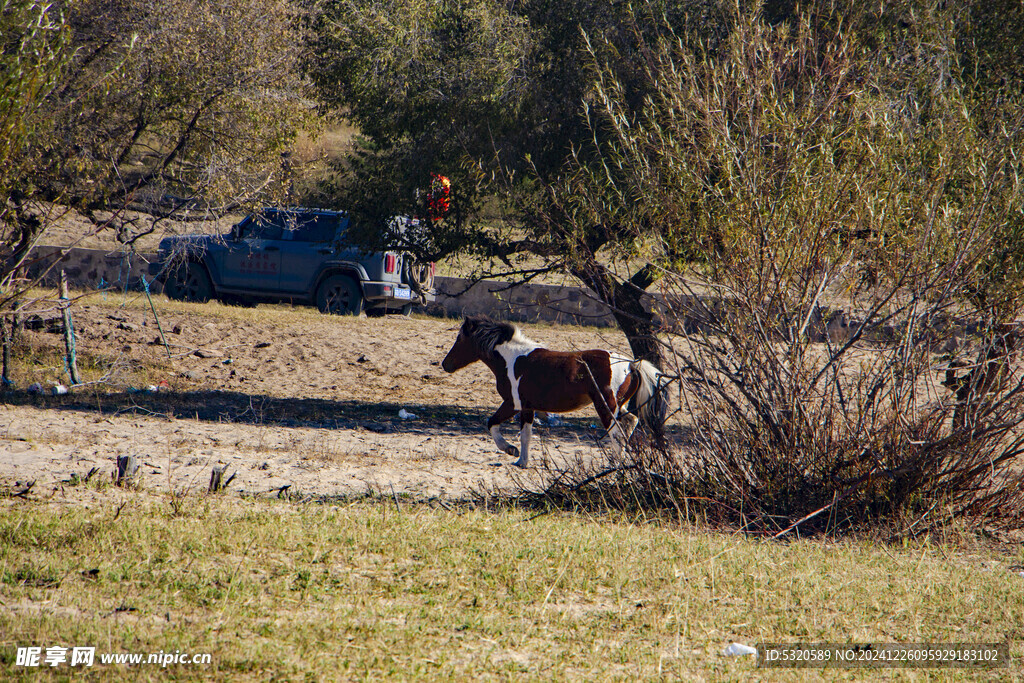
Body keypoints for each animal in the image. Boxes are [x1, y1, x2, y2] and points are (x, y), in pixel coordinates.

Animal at [438, 317, 663, 466]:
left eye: (459, 339)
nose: (445, 364)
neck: (512, 359)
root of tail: (631, 364)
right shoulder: (528, 408)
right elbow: (525, 434)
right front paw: (521, 460)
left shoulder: (513, 404)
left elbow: (493, 423)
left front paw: (511, 451)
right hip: (618, 405)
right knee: (631, 422)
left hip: (605, 406)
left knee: (616, 433)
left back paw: (615, 465)